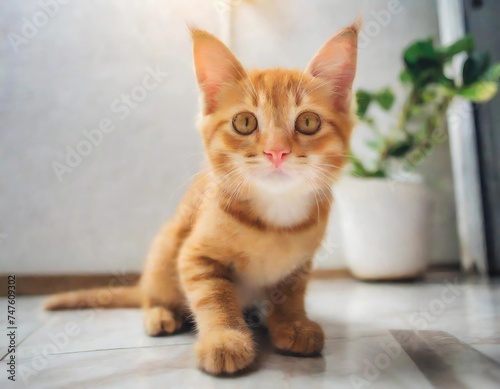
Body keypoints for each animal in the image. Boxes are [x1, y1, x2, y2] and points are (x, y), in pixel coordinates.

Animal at [45, 22, 360, 374]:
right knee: (151, 294)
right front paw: (224, 339)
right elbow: (214, 298)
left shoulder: (300, 265)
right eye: (245, 122)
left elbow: (289, 294)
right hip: (166, 246)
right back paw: (160, 314)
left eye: (307, 122)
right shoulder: (195, 256)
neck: (276, 220)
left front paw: (292, 322)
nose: (276, 151)